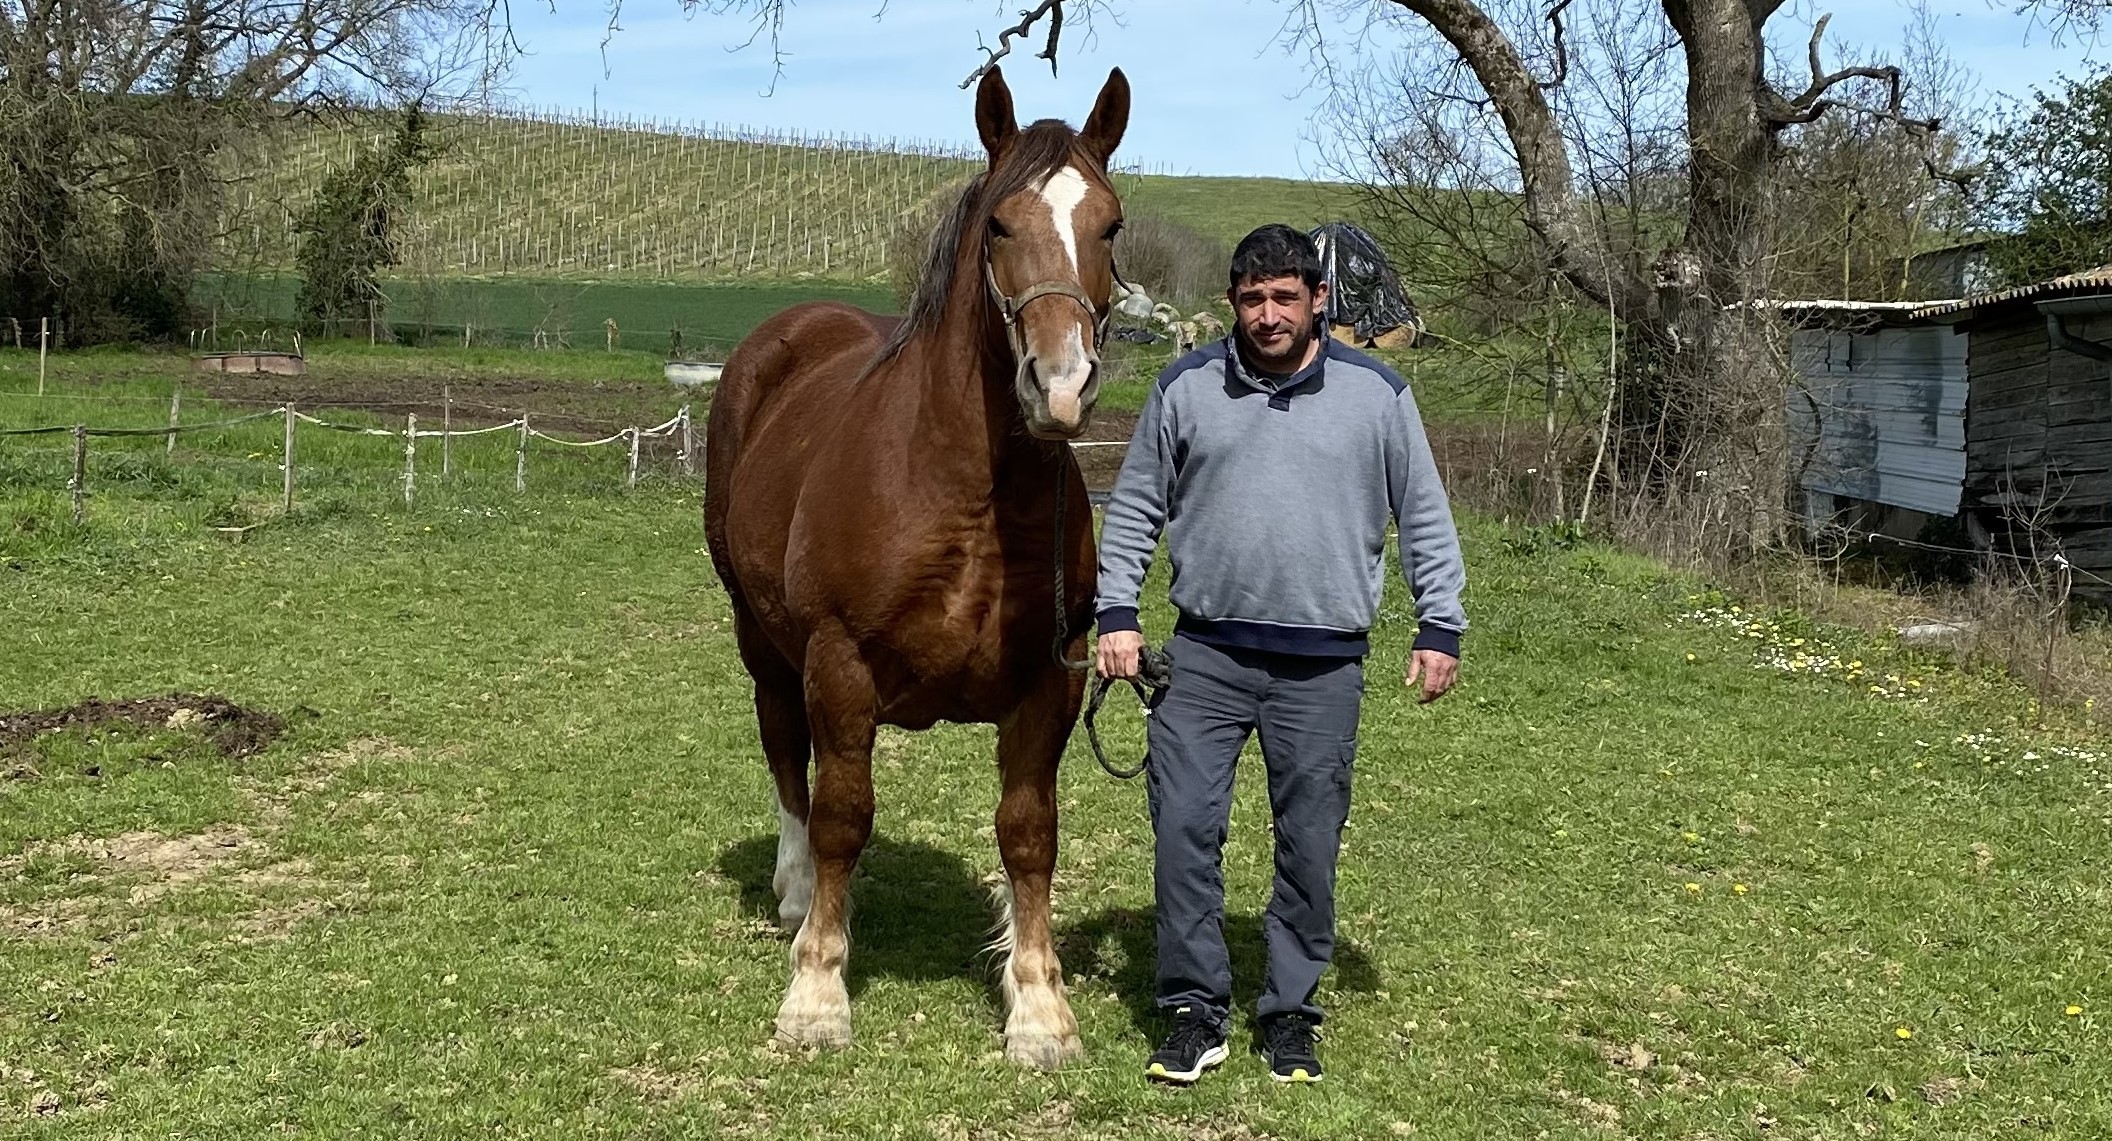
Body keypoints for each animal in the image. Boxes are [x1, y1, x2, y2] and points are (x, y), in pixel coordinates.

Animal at [701, 65, 1129, 1069]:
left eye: (1112, 224)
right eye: (1000, 225)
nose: (1061, 384)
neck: (966, 491)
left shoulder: (1049, 682)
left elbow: (1029, 832)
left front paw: (1038, 1004)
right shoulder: (839, 663)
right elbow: (842, 815)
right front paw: (817, 993)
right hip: (762, 639)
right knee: (784, 750)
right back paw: (791, 891)